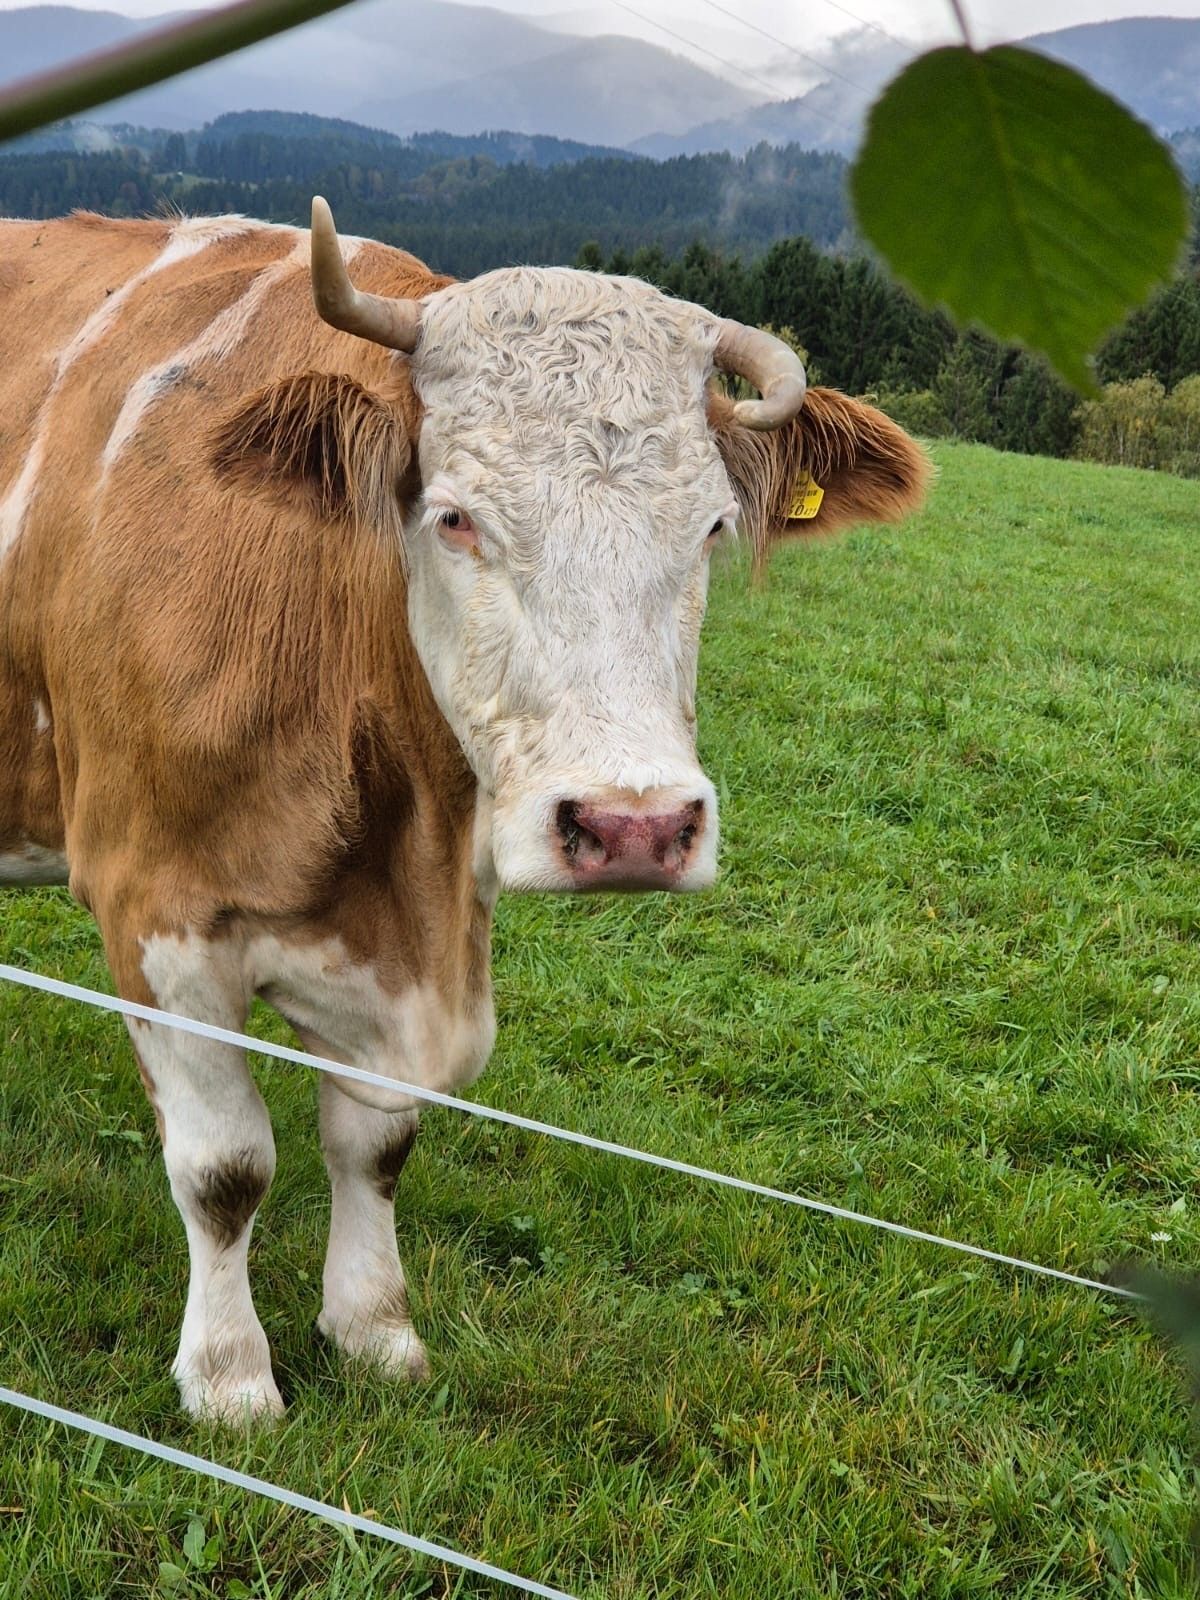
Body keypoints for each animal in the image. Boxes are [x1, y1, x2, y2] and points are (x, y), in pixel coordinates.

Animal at [0, 200, 929, 1420]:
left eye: (714, 528)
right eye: (454, 517)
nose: (634, 826)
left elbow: (374, 1143)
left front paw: (373, 1327)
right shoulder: (154, 910)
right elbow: (224, 1166)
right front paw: (231, 1376)